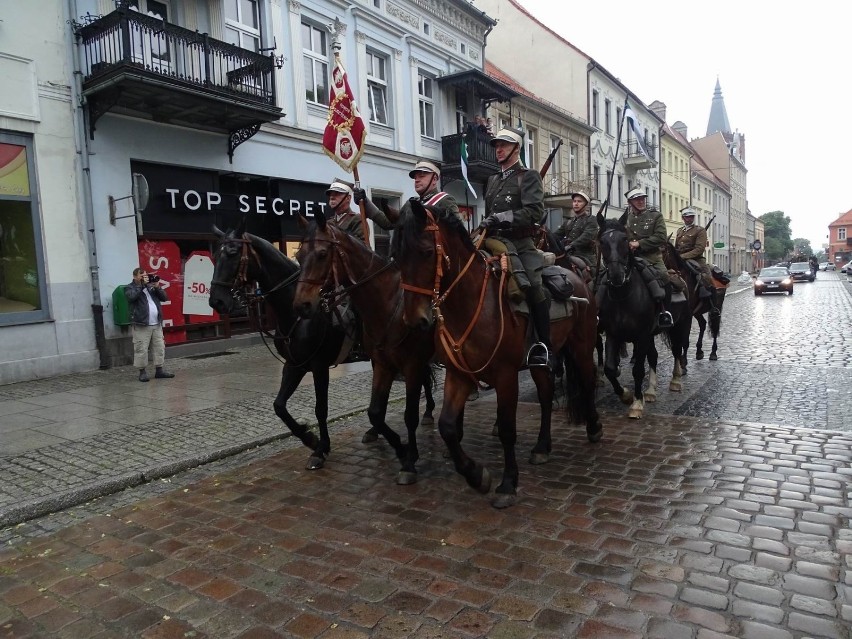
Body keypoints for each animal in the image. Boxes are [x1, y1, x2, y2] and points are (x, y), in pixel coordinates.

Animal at [211, 224, 362, 470]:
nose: (216, 301)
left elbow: (321, 408)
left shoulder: (319, 365)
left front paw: (320, 449)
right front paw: (310, 438)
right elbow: (279, 406)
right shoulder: (294, 365)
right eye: (215, 255)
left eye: (233, 253)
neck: (297, 313)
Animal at [294, 215, 440, 484]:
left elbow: (409, 415)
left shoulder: (412, 365)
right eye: (299, 256)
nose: (301, 305)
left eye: (322, 254)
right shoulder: (383, 365)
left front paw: (410, 460)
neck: (389, 303)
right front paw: (401, 449)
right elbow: (375, 412)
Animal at [392, 200, 600, 510]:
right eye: (396, 255)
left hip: (582, 348)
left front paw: (508, 484)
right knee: (546, 396)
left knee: (588, 381)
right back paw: (542, 447)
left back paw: (594, 427)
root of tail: (578, 277)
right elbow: (447, 426)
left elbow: (506, 429)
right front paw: (476, 475)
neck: (469, 303)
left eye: (426, 252)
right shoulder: (459, 374)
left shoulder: (505, 376)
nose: (415, 320)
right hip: (539, 362)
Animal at [596, 212, 688, 420]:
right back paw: (651, 391)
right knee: (654, 356)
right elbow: (610, 368)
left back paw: (676, 381)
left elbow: (638, 370)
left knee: (677, 349)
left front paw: (636, 403)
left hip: (680, 325)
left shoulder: (641, 336)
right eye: (602, 241)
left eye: (624, 239)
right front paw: (626, 395)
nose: (616, 275)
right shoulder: (613, 334)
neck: (623, 295)